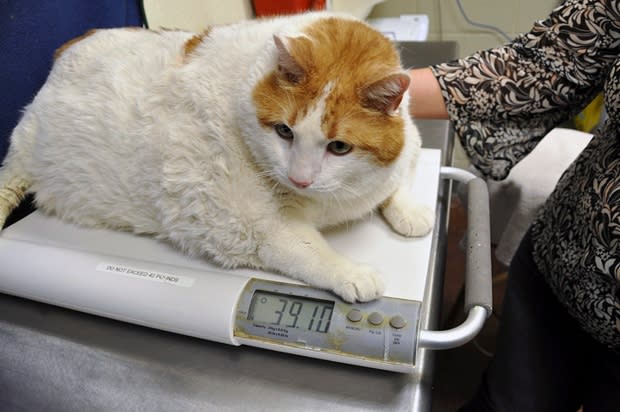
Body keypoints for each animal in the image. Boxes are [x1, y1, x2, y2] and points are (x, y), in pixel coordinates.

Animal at [0, 12, 434, 302]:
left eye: (339, 147)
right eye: (284, 132)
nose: (299, 178)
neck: (337, 200)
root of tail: (66, 50)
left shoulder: (409, 141)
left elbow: (398, 179)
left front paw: (410, 211)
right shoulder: (242, 225)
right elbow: (307, 250)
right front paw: (350, 272)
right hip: (23, 154)